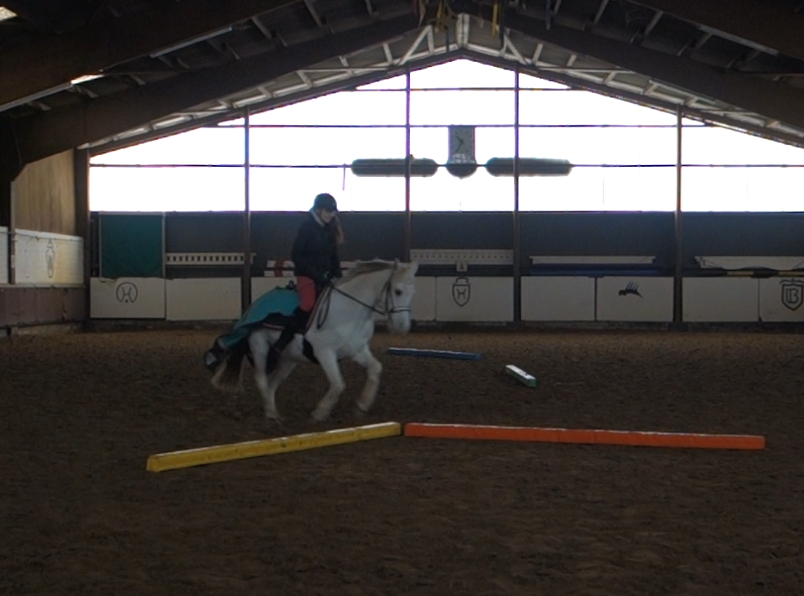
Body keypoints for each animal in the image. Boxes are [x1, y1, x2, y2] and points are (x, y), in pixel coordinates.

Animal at [211, 259, 418, 423]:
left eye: (413, 293)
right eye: (398, 291)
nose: (402, 326)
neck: (349, 310)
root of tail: (253, 306)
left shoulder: (357, 349)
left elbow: (375, 369)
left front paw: (362, 405)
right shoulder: (325, 353)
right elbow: (338, 384)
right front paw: (320, 412)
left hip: (289, 360)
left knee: (272, 383)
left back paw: (273, 410)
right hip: (259, 347)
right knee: (261, 380)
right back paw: (271, 414)